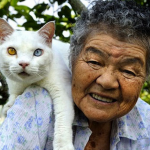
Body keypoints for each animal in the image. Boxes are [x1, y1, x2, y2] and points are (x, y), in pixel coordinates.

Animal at [0, 18, 74, 150]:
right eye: (11, 51)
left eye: (38, 52)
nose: (23, 63)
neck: (28, 83)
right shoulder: (14, 85)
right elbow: (14, 95)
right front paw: (8, 106)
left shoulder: (63, 90)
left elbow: (62, 120)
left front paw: (63, 146)